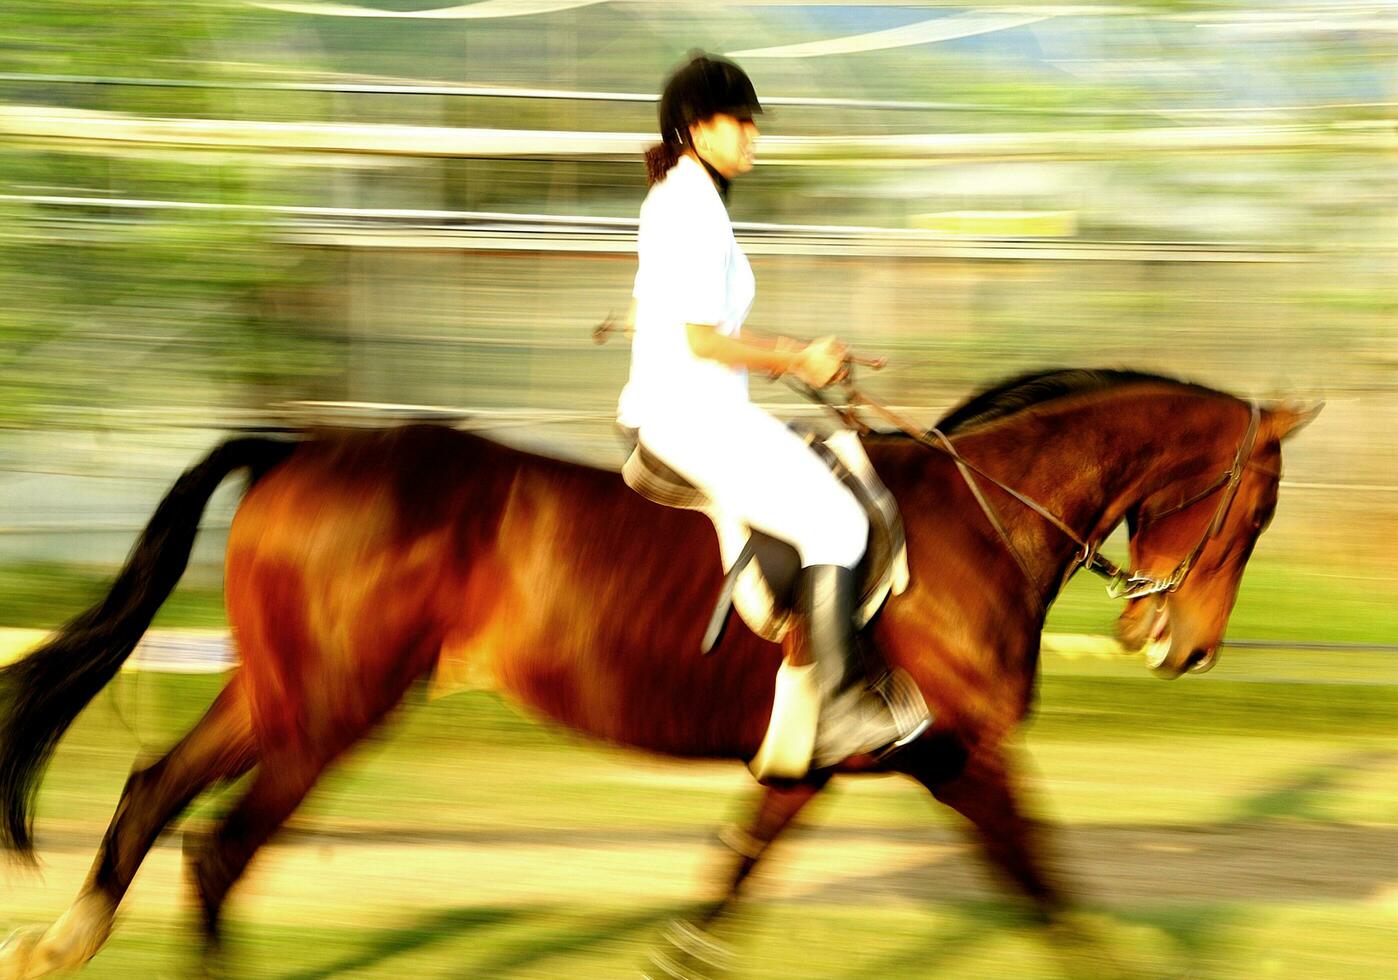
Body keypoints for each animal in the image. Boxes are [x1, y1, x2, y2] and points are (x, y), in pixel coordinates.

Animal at [0, 366, 1314, 973]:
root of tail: (297, 449)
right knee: (219, 847)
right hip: (329, 711)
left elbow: (731, 875)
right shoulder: (963, 753)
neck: (977, 524)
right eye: (1253, 511)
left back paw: (64, 938)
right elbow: (1048, 887)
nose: (1181, 645)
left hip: (280, 693)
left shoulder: (818, 762)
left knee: (152, 789)